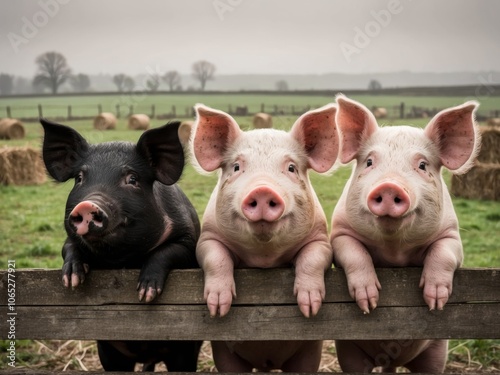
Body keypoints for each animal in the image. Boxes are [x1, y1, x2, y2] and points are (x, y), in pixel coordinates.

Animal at [41, 119, 201, 372]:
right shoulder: (69, 239)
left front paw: (146, 294)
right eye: (79, 178)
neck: (122, 260)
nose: (87, 205)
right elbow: (69, 248)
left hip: (184, 351)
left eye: (132, 179)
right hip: (109, 351)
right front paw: (72, 281)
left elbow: (169, 251)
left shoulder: (188, 240)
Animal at [189, 103, 338, 374]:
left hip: (308, 353)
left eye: (291, 168)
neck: (264, 258)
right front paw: (218, 308)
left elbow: (312, 258)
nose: (262, 190)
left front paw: (309, 308)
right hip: (226, 355)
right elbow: (215, 257)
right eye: (237, 167)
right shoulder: (208, 237)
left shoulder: (321, 239)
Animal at [332, 96, 480, 374]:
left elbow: (444, 253)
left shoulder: (452, 236)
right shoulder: (339, 231)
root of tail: (392, 360)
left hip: (436, 351)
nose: (389, 186)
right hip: (349, 352)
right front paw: (368, 304)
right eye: (369, 162)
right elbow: (353, 252)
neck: (395, 252)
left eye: (422, 165)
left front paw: (435, 303)